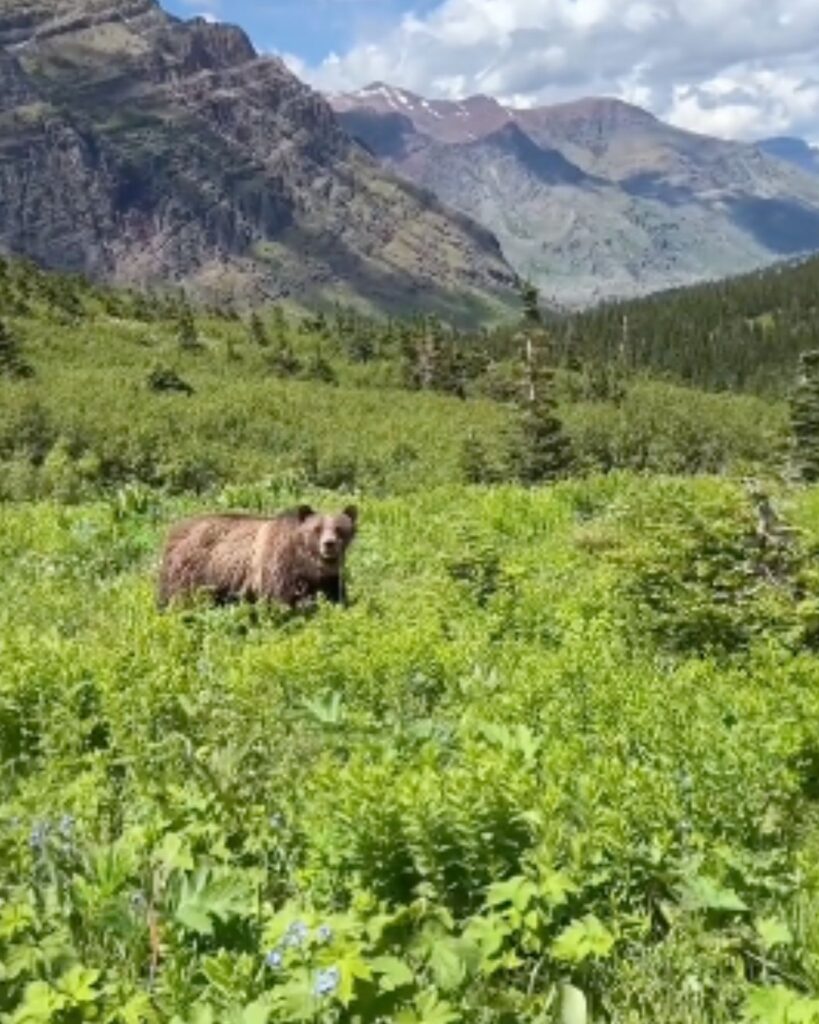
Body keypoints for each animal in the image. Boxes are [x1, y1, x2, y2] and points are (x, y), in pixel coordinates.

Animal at [155, 503, 356, 606]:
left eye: (339, 528)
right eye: (317, 528)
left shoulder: (328, 578)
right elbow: (278, 601)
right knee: (180, 599)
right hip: (192, 571)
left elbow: (335, 595)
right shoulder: (277, 566)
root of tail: (174, 530)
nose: (329, 544)